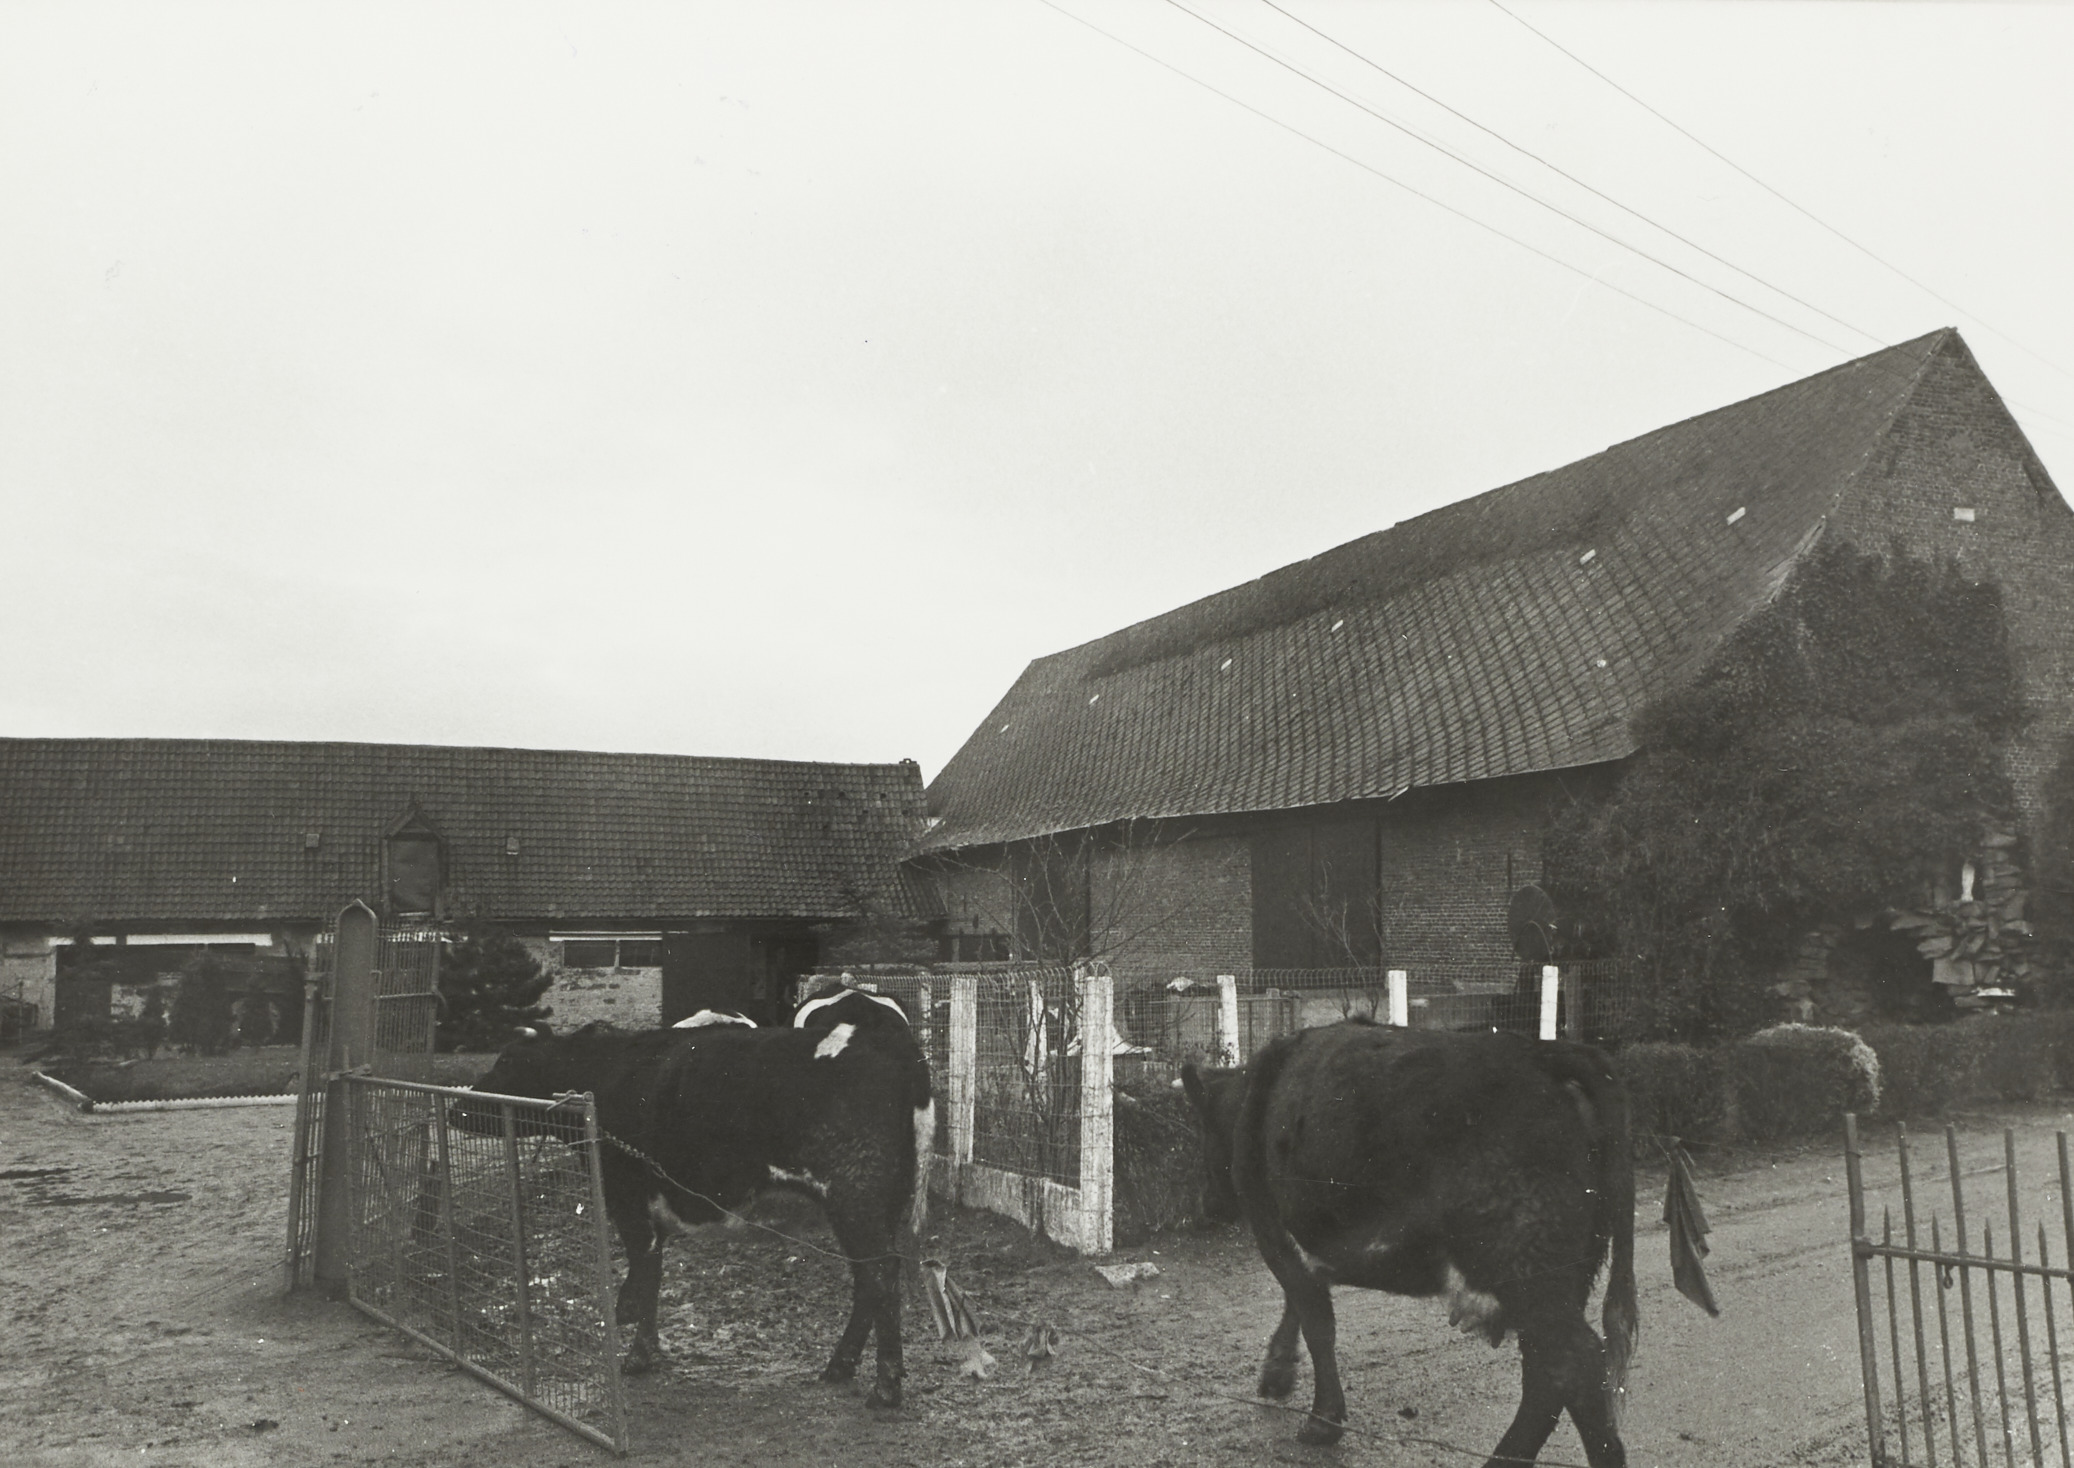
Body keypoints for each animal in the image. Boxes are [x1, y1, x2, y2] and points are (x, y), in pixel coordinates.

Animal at [464, 1018, 934, 1407]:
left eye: (505, 1062)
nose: (457, 1107)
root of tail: (892, 1043)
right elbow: (652, 1275)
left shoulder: (628, 1201)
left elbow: (643, 1275)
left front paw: (637, 1355)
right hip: (878, 1208)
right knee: (868, 1281)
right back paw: (840, 1365)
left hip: (856, 1199)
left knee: (880, 1276)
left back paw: (886, 1386)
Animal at [1182, 1020, 1641, 1466]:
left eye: (1201, 1129)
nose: (1204, 1205)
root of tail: (1545, 1052)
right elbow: (1300, 1305)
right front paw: (1277, 1373)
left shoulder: (1273, 1232)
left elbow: (1317, 1322)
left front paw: (1322, 1420)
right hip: (1563, 1276)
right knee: (1547, 1374)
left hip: (1526, 1269)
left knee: (1571, 1364)